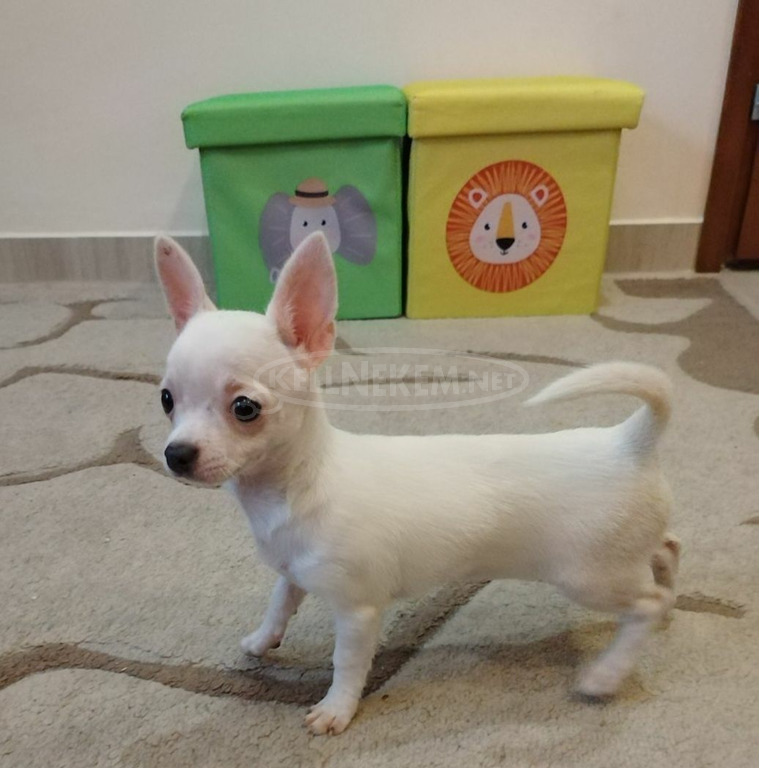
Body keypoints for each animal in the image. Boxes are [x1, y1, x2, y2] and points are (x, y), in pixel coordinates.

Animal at [154, 231, 680, 735]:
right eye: (166, 400)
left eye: (245, 408)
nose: (175, 454)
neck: (294, 486)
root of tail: (629, 440)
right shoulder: (291, 572)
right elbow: (278, 605)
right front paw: (263, 640)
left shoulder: (359, 611)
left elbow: (347, 664)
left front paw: (337, 710)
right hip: (622, 556)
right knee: (667, 549)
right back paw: (670, 598)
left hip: (587, 576)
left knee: (645, 605)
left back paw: (609, 672)